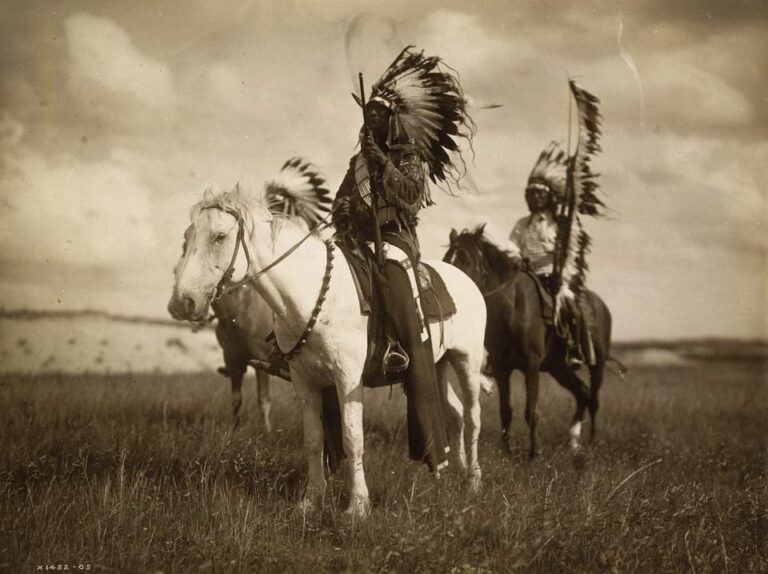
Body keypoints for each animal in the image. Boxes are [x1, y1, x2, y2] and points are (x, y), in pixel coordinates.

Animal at [167, 186, 488, 516]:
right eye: (187, 237)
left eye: (219, 236)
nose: (182, 303)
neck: (312, 295)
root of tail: (466, 280)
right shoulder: (305, 381)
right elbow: (313, 439)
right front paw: (311, 499)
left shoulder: (347, 379)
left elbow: (352, 438)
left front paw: (358, 506)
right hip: (439, 365)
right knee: (455, 413)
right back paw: (453, 470)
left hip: (467, 361)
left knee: (473, 416)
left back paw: (473, 481)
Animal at [443, 225, 616, 458]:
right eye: (446, 258)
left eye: (466, 259)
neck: (514, 308)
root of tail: (601, 306)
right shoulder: (502, 369)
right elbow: (505, 411)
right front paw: (507, 452)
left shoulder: (531, 366)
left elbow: (531, 411)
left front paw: (534, 453)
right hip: (559, 368)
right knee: (582, 393)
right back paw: (574, 442)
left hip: (597, 365)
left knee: (594, 400)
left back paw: (592, 441)